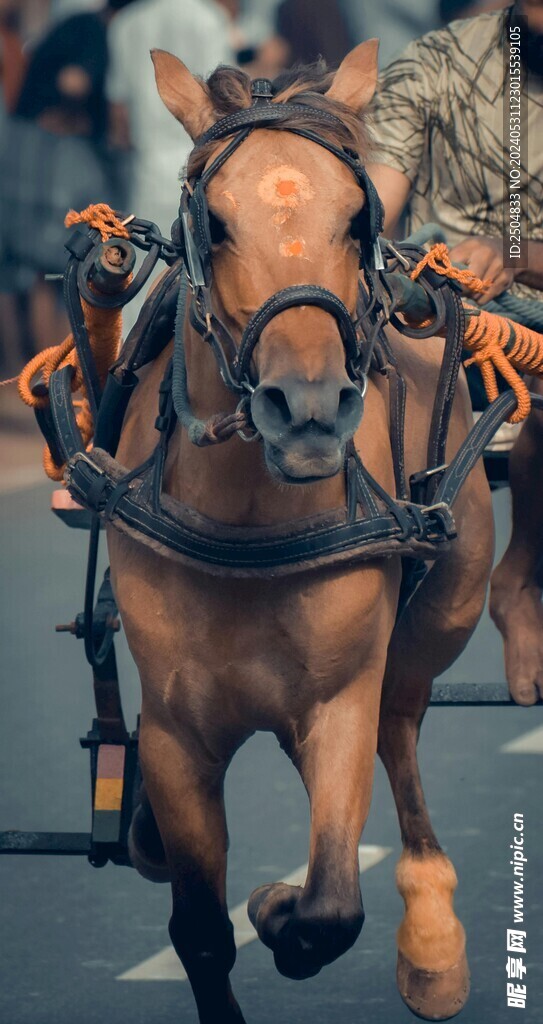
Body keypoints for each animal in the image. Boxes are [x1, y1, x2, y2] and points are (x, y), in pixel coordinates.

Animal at [107, 42, 494, 1024]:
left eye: (357, 219)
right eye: (212, 221)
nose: (309, 409)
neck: (246, 516)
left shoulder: (338, 699)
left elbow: (329, 905)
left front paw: (277, 909)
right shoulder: (175, 730)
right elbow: (200, 931)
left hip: (439, 616)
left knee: (402, 727)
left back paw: (432, 942)